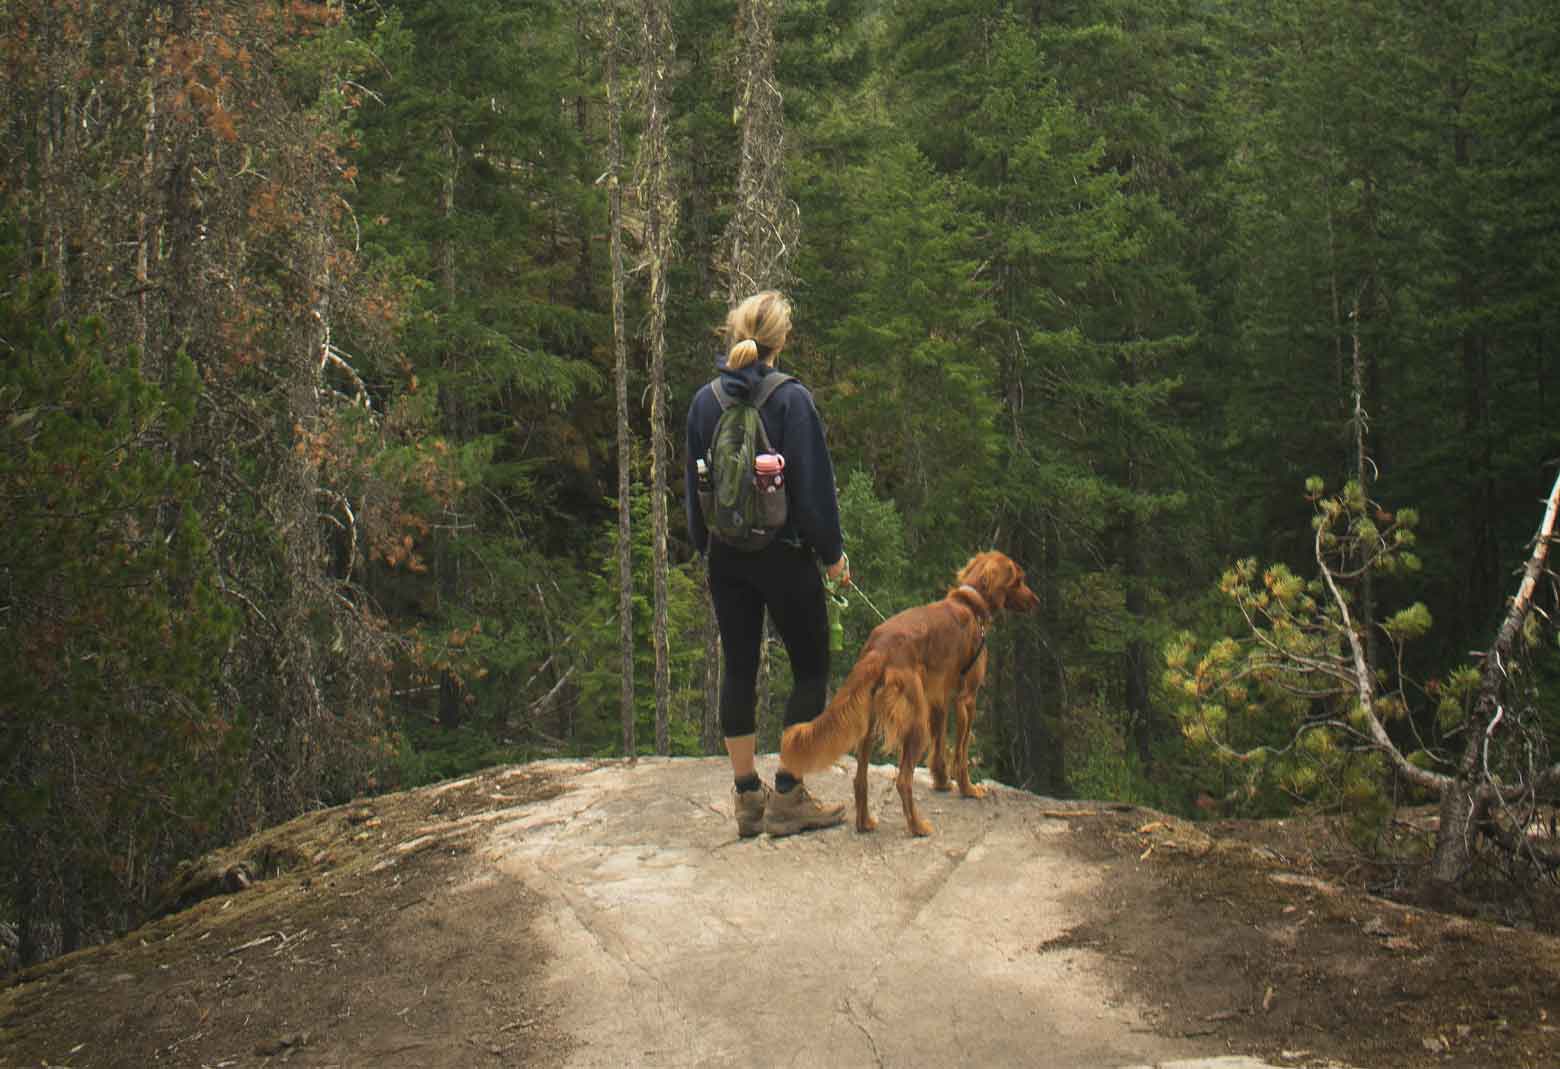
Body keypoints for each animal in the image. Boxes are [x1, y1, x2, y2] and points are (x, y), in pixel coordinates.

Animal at [776, 549, 1035, 836]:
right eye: (1019, 579)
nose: (1035, 601)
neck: (970, 604)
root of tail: (879, 648)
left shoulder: (937, 700)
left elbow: (940, 748)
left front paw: (942, 781)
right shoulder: (967, 698)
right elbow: (961, 751)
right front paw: (968, 789)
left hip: (871, 723)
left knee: (860, 779)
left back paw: (865, 823)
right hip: (915, 722)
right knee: (902, 780)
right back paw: (917, 826)